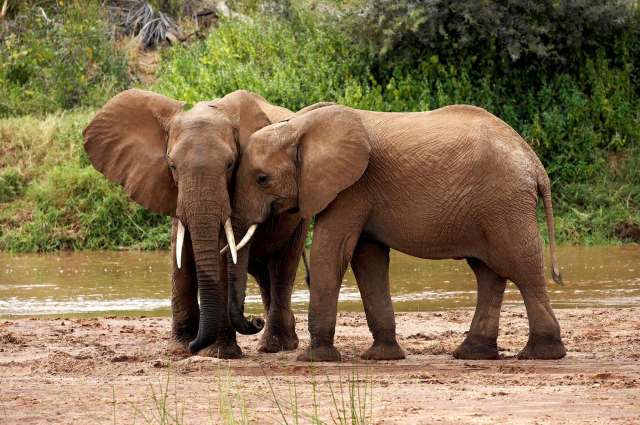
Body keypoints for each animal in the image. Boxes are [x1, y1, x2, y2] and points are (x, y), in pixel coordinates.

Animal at [83, 88, 308, 358]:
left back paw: (274, 346)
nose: (255, 321)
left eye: (230, 164)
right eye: (172, 166)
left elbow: (221, 254)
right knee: (263, 271)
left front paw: (218, 354)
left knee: (282, 267)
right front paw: (179, 349)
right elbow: (180, 253)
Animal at [228, 102, 567, 362]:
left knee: (522, 268)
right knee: (488, 273)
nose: (255, 319)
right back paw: (473, 353)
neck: (297, 127)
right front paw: (380, 357)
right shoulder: (359, 194)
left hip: (505, 204)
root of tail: (535, 163)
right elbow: (368, 261)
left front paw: (314, 359)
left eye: (261, 179)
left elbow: (332, 252)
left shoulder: (351, 189)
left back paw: (541, 354)